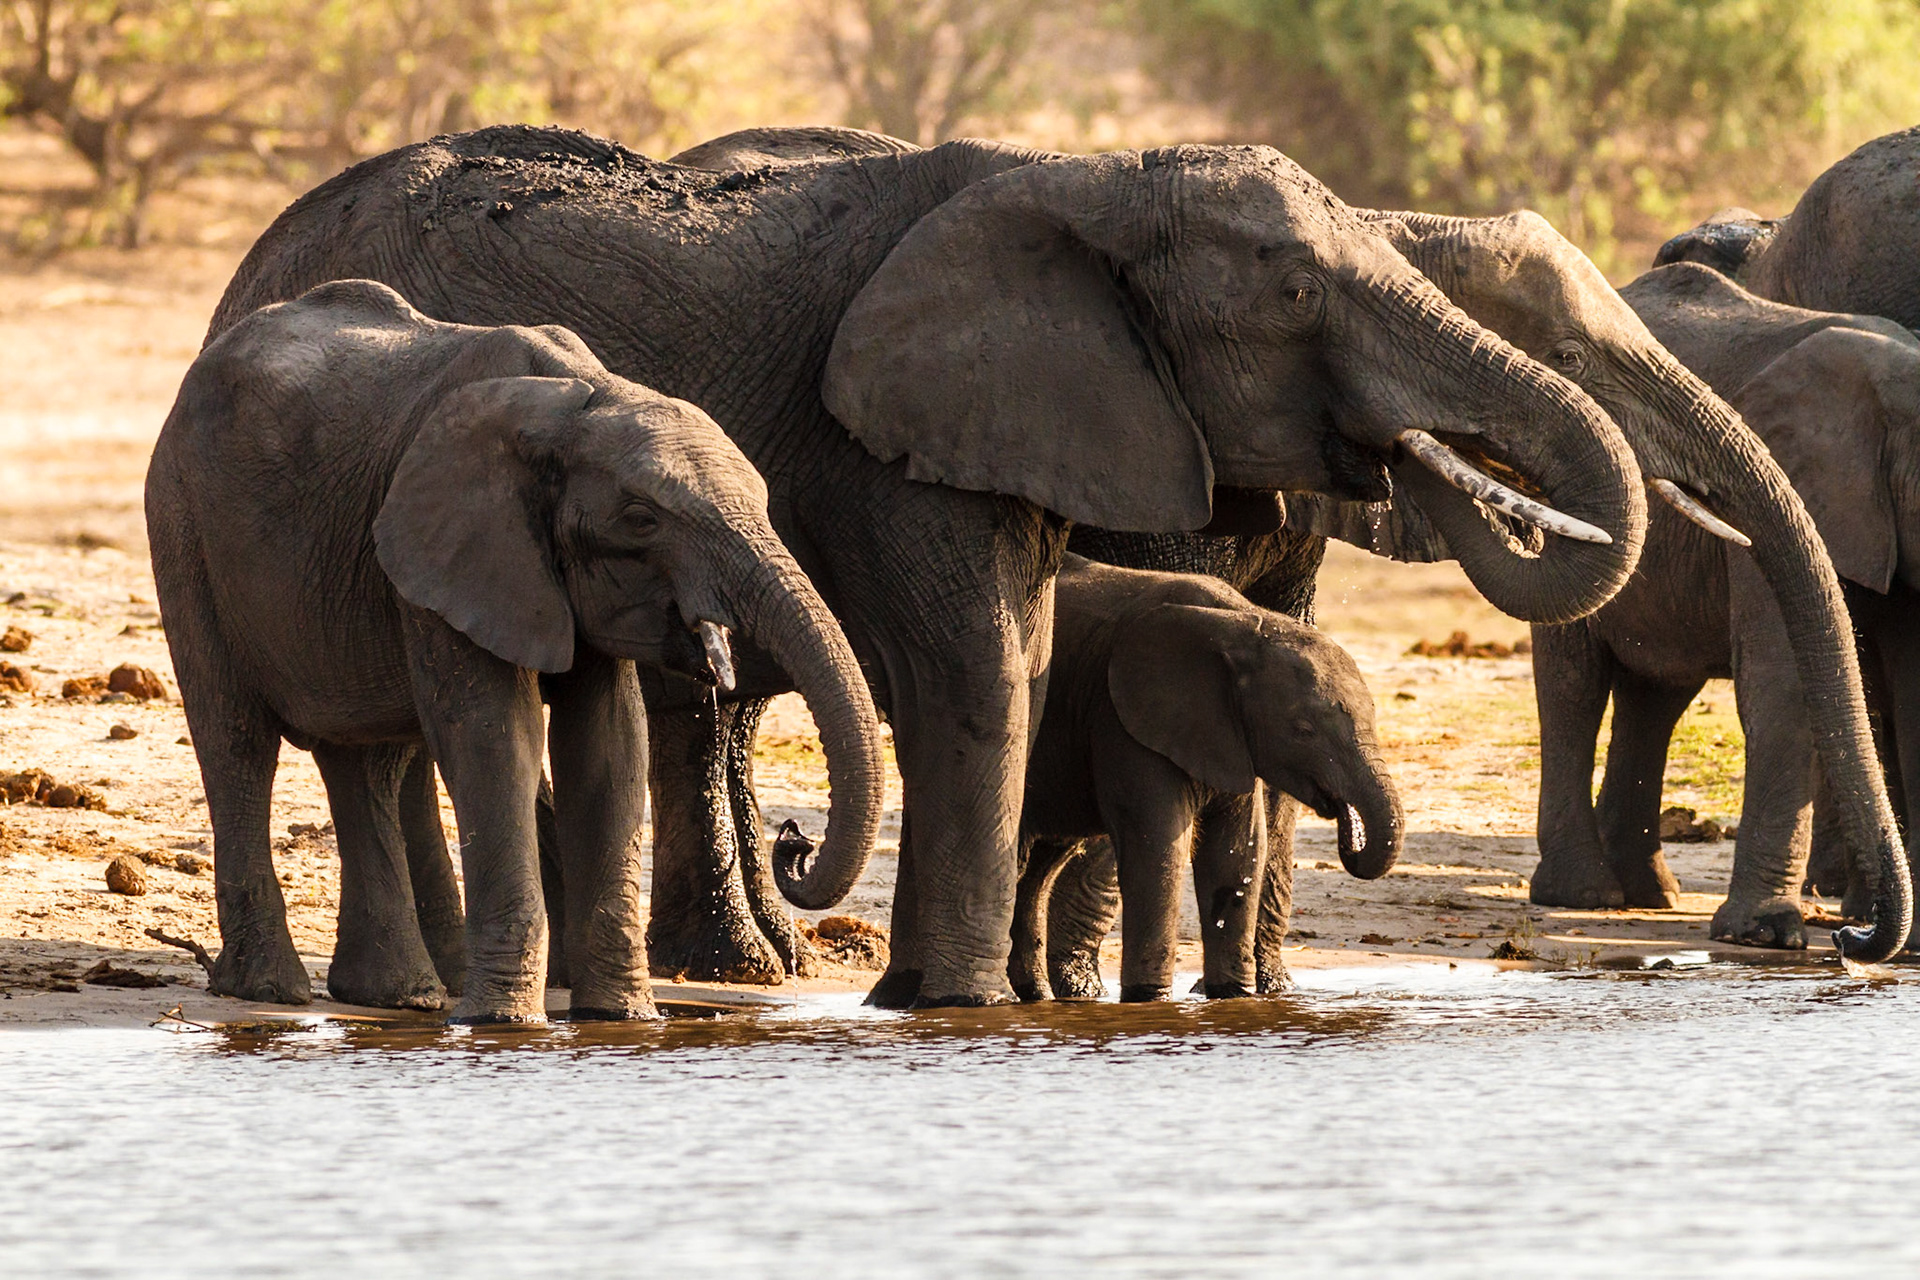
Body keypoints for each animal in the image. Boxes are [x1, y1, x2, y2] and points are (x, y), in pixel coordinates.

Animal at [146, 279, 883, 1021]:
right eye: (641, 521)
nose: (795, 841)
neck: (583, 403)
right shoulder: (456, 546)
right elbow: (498, 740)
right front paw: (504, 1023)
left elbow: (609, 747)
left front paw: (619, 1018)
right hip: (181, 525)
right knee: (237, 742)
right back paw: (269, 990)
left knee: (366, 760)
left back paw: (399, 996)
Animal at [1010, 554, 1399, 1002]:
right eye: (1303, 730)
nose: (1347, 828)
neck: (1246, 625)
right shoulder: (1123, 719)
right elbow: (1158, 845)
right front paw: (1150, 1000)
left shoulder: (1228, 734)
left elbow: (1237, 851)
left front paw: (1233, 995)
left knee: (1041, 863)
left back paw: (1036, 995)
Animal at [1522, 260, 1920, 949]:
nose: (1849, 937)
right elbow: (1781, 682)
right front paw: (1762, 936)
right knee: (1575, 684)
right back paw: (1585, 894)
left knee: (1657, 696)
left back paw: (1650, 895)